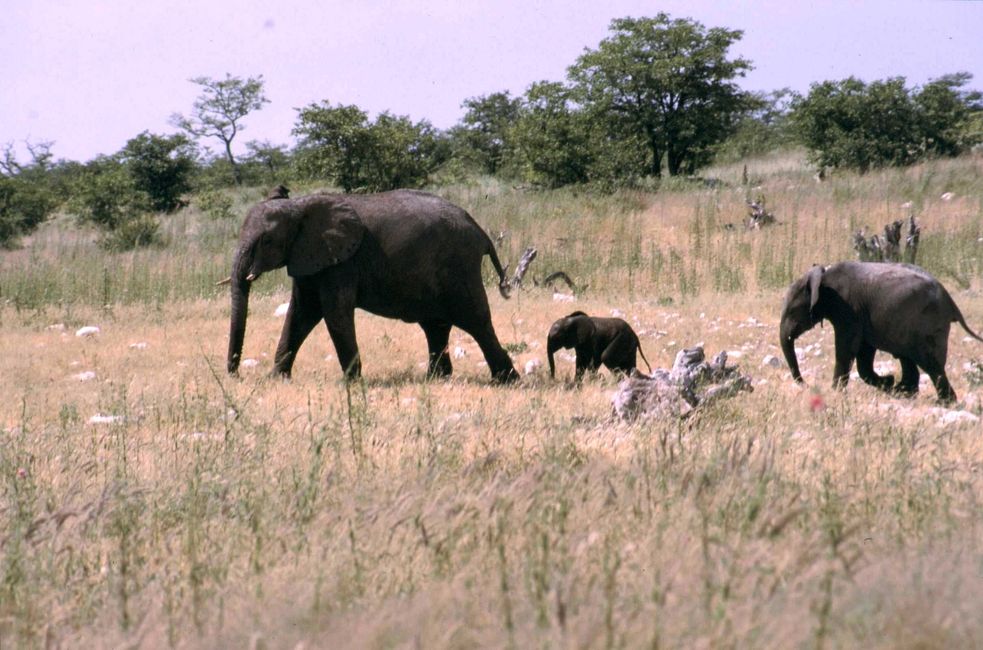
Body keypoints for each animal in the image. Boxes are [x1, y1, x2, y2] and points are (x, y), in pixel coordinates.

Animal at [222, 187, 520, 380]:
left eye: (267, 240)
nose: (235, 376)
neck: (298, 207)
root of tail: (481, 232)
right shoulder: (309, 258)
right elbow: (301, 313)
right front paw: (276, 378)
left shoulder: (341, 261)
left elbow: (334, 312)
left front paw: (350, 383)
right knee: (436, 325)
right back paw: (437, 379)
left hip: (458, 264)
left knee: (474, 320)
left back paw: (506, 380)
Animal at [780, 260, 980, 402]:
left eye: (792, 310)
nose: (807, 385)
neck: (823, 277)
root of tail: (950, 300)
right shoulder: (861, 315)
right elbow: (864, 352)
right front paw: (888, 381)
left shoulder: (847, 309)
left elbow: (847, 347)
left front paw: (835, 392)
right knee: (909, 358)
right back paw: (903, 392)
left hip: (928, 323)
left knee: (930, 363)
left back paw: (943, 402)